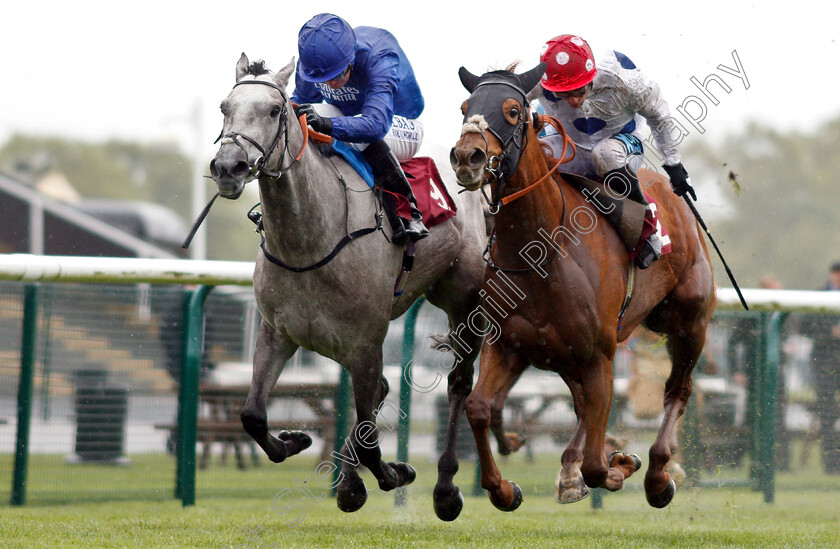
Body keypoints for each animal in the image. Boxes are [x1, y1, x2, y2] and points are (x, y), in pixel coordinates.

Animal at [208, 55, 486, 520]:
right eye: (225, 107)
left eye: (274, 110)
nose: (228, 167)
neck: (309, 242)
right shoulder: (277, 333)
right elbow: (252, 415)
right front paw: (296, 441)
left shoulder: (366, 343)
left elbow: (373, 439)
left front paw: (395, 473)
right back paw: (352, 482)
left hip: (464, 303)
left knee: (458, 384)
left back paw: (445, 489)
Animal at [452, 64, 716, 512]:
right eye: (465, 107)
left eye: (512, 110)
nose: (467, 157)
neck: (541, 251)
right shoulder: (509, 345)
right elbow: (478, 407)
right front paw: (503, 489)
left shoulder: (599, 356)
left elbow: (597, 462)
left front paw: (621, 464)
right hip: (569, 354)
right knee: (580, 407)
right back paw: (571, 470)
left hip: (688, 323)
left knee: (676, 391)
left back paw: (659, 473)